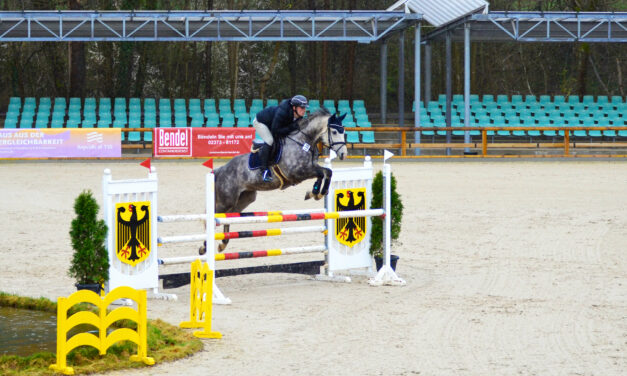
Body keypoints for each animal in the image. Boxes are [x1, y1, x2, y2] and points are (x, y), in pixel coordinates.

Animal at [200, 108, 348, 256]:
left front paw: (315, 193)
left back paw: (223, 244)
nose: (343, 155)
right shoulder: (298, 172)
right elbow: (322, 173)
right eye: (334, 132)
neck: (303, 141)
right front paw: (316, 192)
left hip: (245, 198)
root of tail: (220, 170)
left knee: (228, 216)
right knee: (213, 217)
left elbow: (326, 172)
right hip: (226, 201)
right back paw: (204, 247)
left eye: (343, 131)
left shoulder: (311, 168)